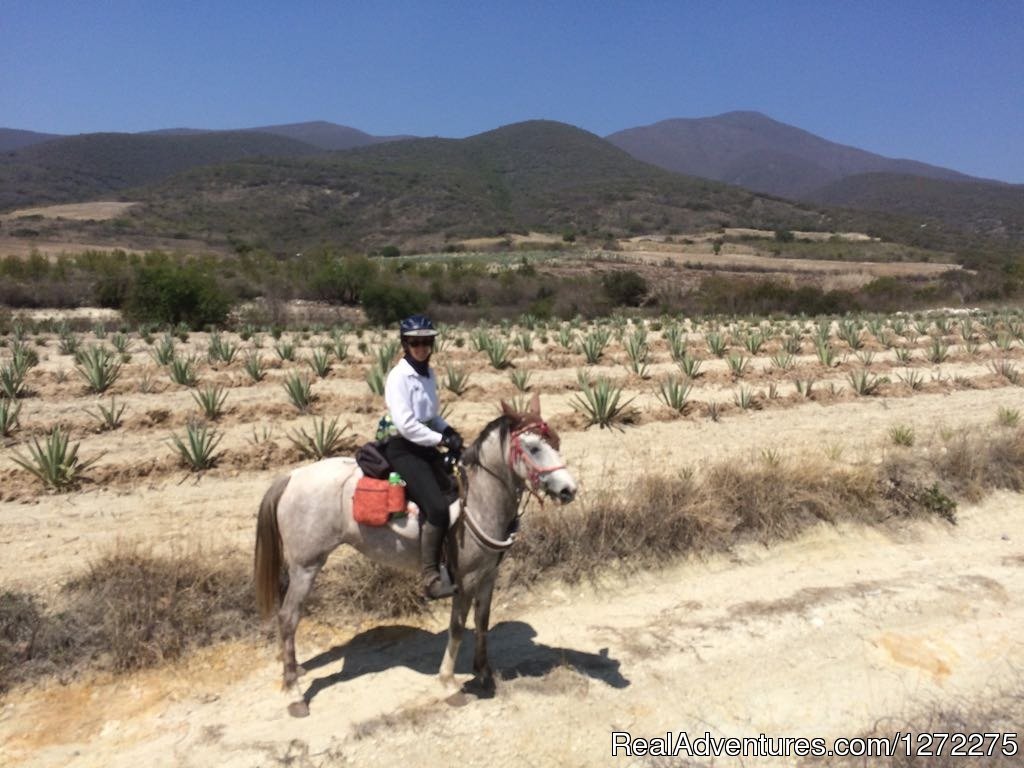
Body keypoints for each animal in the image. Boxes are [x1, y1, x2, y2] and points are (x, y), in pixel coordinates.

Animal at [253, 393, 577, 720]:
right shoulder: (465, 580)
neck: (478, 499)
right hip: (306, 567)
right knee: (288, 617)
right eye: (533, 447)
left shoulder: (488, 575)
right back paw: (294, 693)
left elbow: (482, 622)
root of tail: (291, 476)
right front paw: (448, 684)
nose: (568, 490)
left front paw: (485, 673)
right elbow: (457, 628)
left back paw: (293, 671)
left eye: (557, 441)